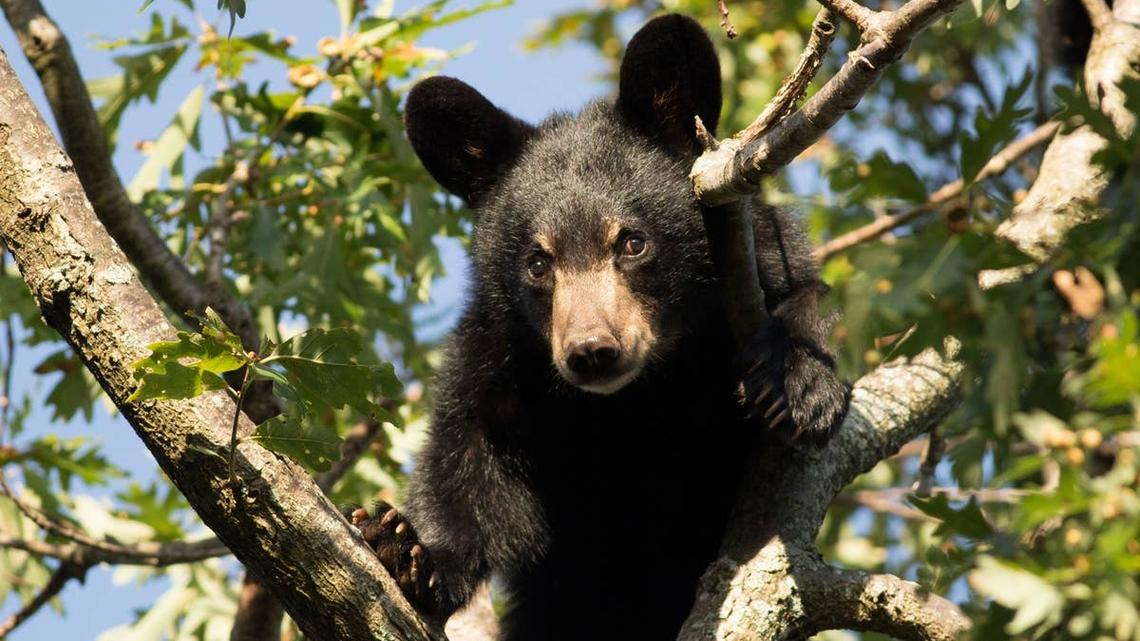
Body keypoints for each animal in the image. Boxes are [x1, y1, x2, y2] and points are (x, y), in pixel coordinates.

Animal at [349, 14, 850, 641]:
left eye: (632, 242)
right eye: (538, 263)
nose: (591, 352)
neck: (633, 400)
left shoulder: (763, 261)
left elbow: (809, 295)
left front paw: (798, 384)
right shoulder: (500, 359)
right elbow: (470, 470)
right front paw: (406, 548)